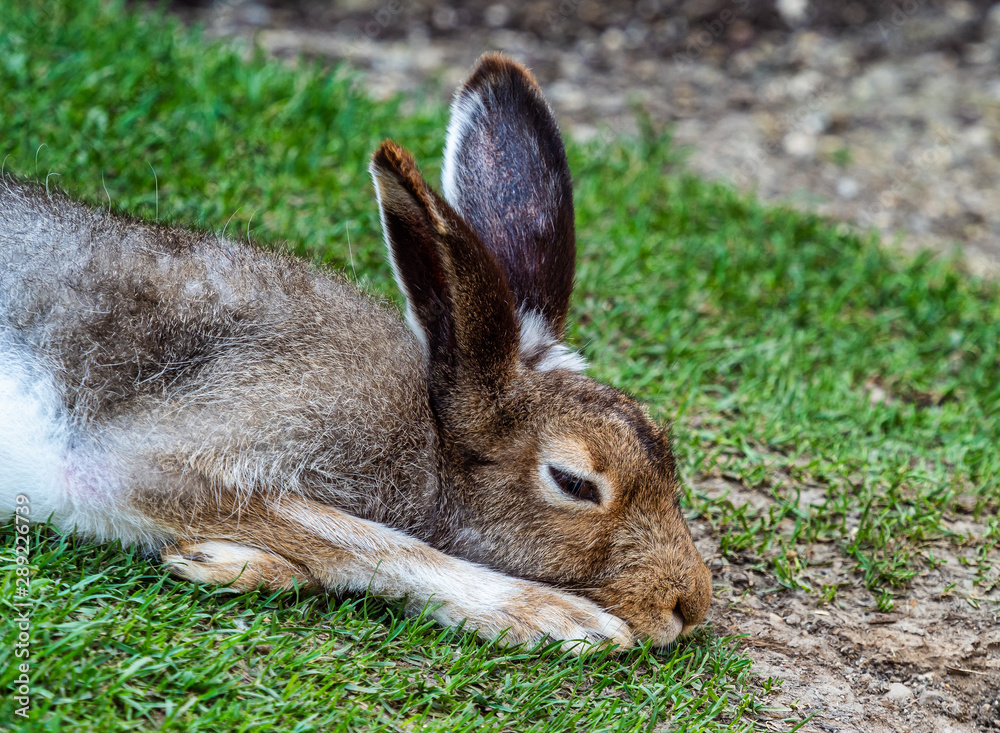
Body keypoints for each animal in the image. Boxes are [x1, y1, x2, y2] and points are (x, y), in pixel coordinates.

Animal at [0, 53, 712, 652]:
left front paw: (230, 562)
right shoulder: (152, 456)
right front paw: (558, 619)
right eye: (573, 483)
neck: (430, 433)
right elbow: (369, 544)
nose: (689, 606)